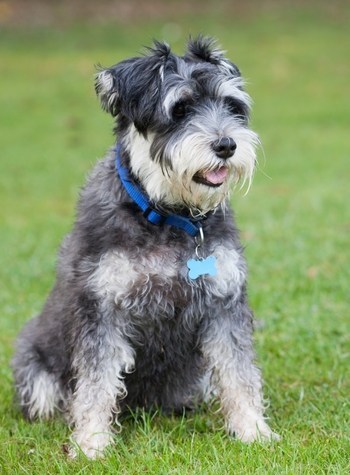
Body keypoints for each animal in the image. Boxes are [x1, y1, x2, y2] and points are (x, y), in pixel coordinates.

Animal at [12, 35, 278, 460]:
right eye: (179, 109)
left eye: (232, 106)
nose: (226, 145)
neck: (167, 216)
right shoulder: (102, 310)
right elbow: (96, 382)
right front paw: (91, 443)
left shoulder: (224, 306)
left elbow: (239, 373)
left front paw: (253, 430)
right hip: (34, 369)